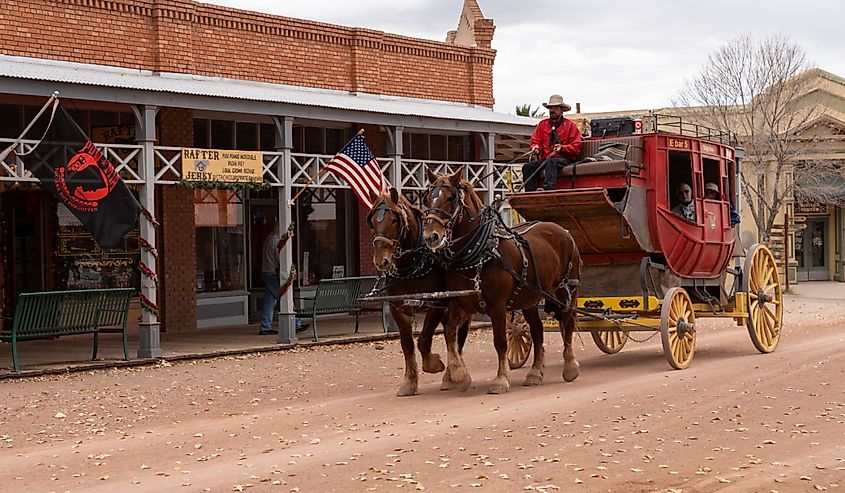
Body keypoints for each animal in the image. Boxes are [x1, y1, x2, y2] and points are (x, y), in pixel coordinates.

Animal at [362, 185, 468, 396]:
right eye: (372, 222)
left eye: (394, 220)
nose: (381, 261)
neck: (410, 264)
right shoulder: (398, 307)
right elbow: (407, 344)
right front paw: (409, 382)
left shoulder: (436, 303)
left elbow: (424, 340)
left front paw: (434, 364)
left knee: (456, 336)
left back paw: (453, 374)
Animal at [422, 167, 580, 394]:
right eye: (427, 198)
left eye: (451, 198)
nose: (431, 236)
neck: (480, 251)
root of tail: (563, 230)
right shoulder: (459, 303)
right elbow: (450, 334)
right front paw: (459, 375)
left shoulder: (497, 306)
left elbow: (500, 341)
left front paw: (501, 378)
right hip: (530, 298)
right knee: (537, 330)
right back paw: (535, 373)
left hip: (565, 289)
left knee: (567, 321)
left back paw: (570, 366)